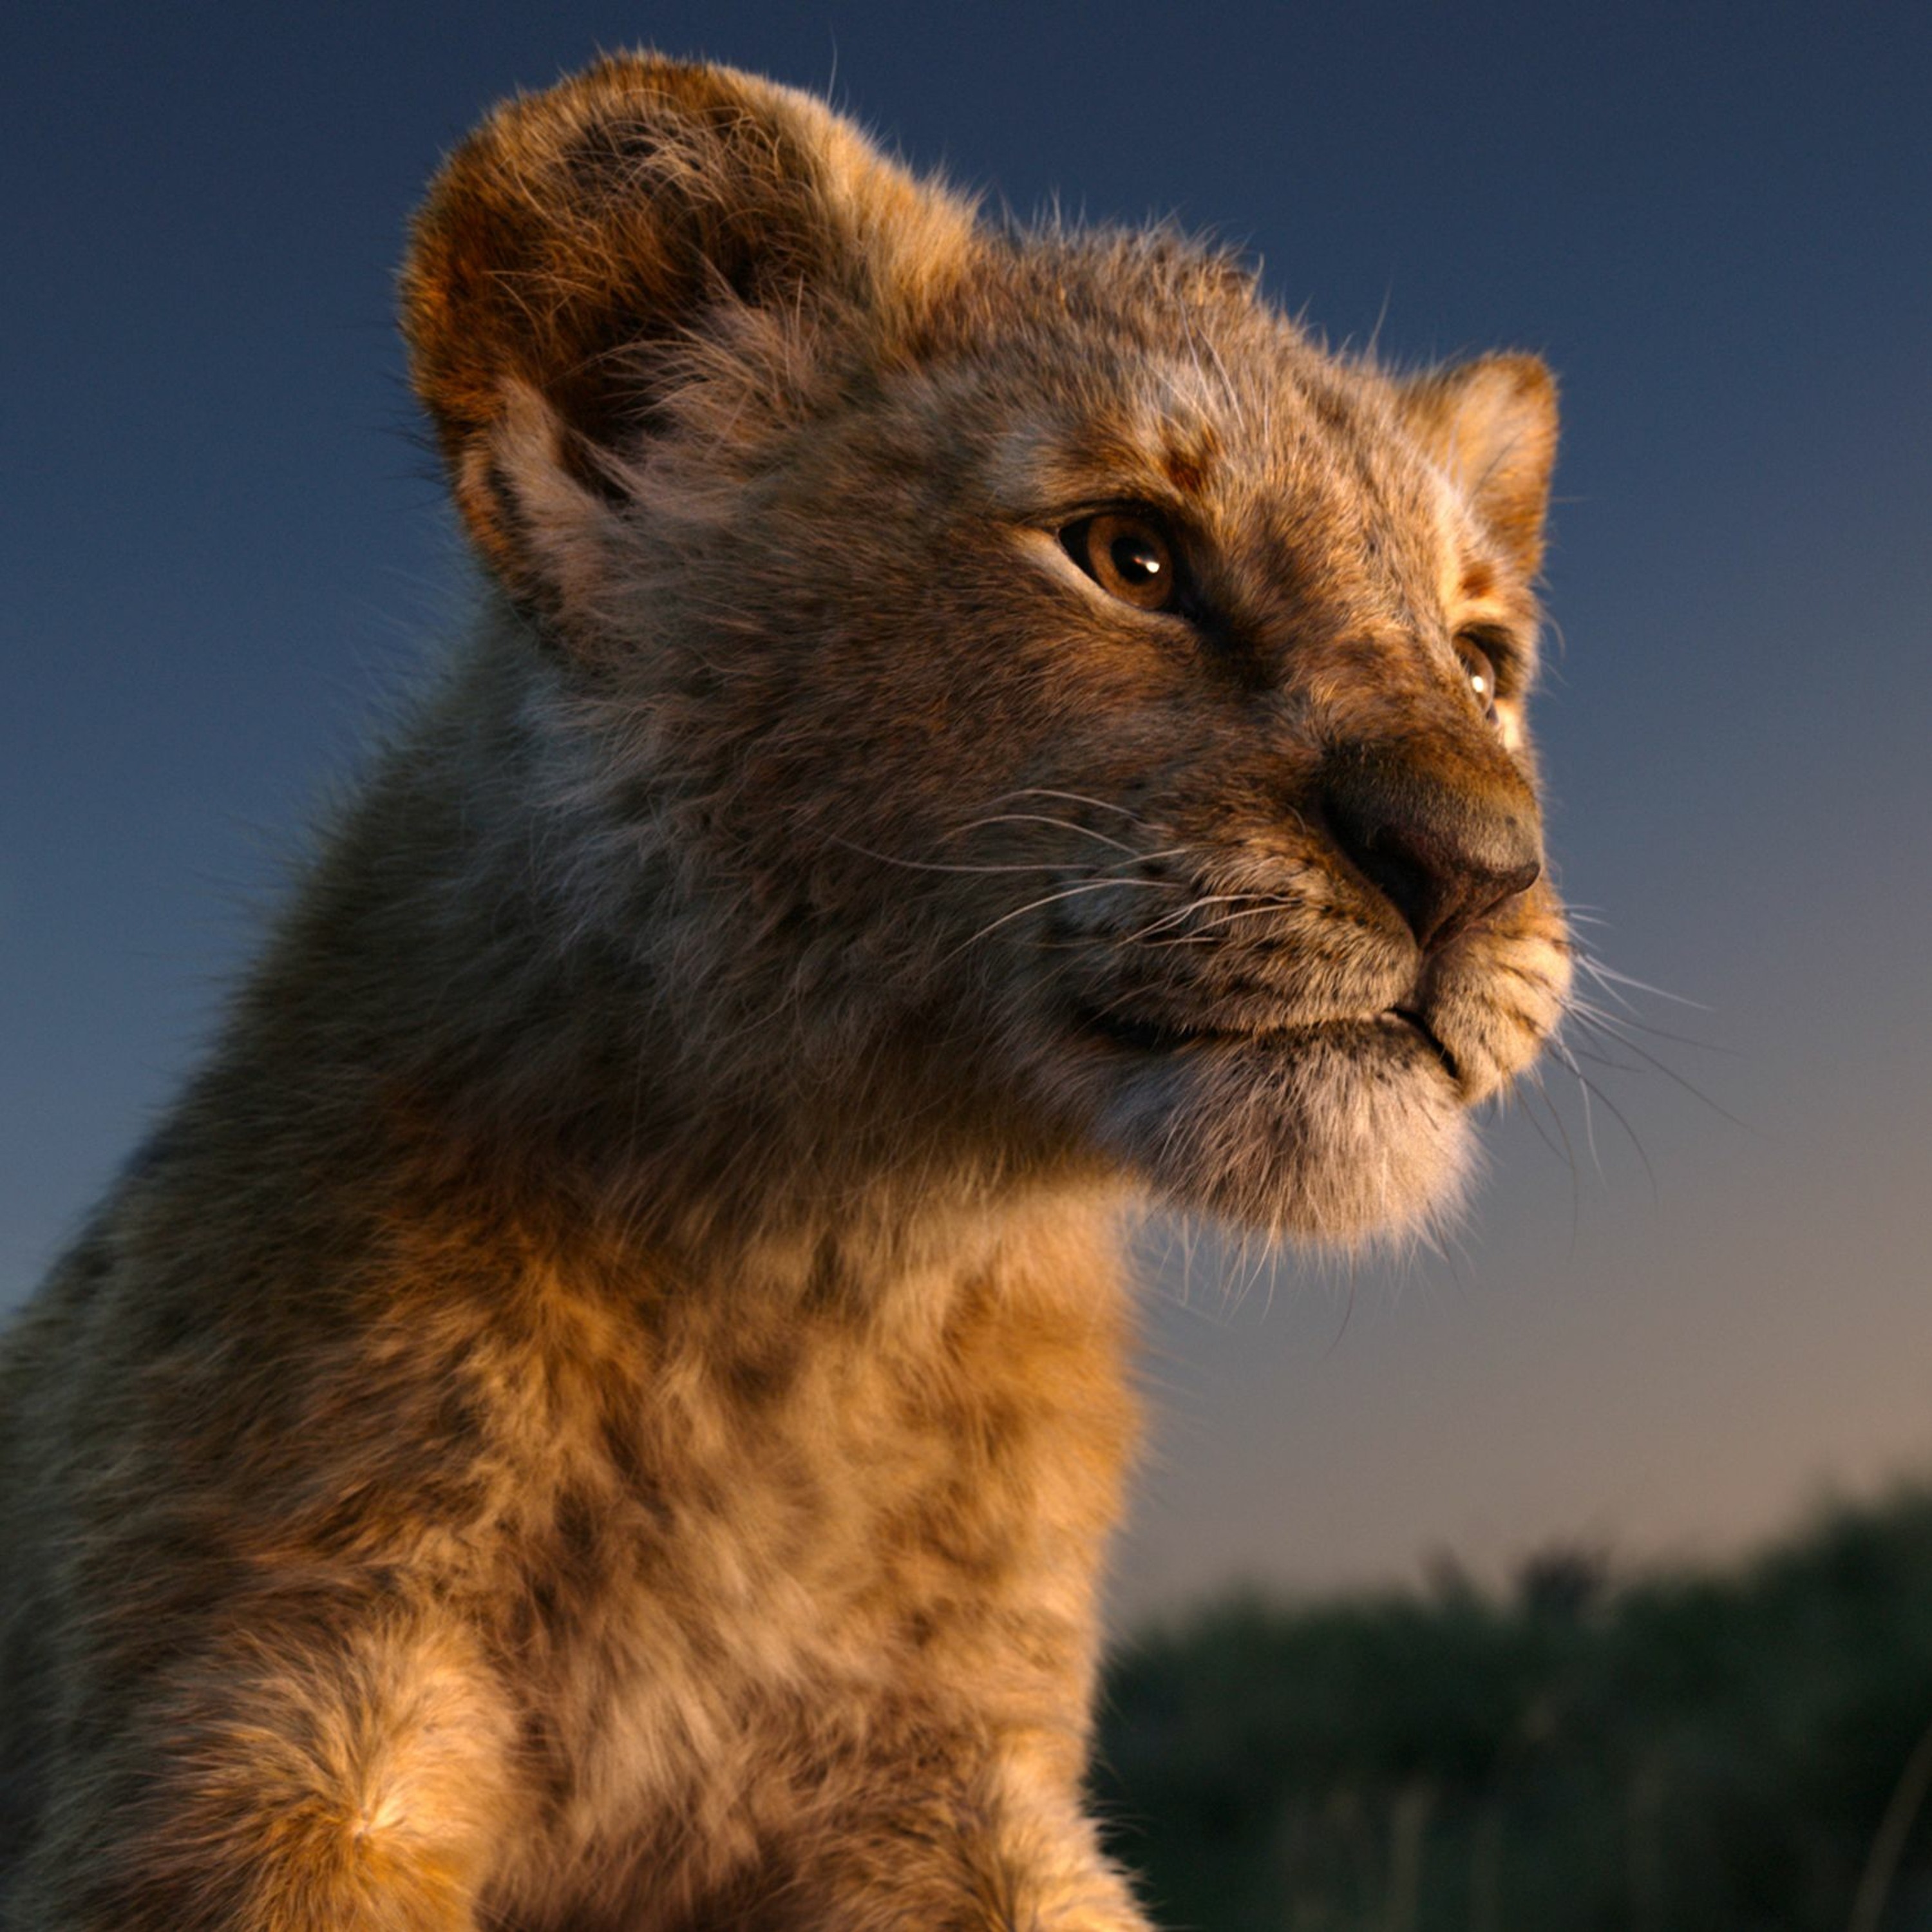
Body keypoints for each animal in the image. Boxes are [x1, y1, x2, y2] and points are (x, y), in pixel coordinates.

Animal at [0, 53, 1569, 1932]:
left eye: (1481, 661)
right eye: (1128, 555)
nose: (1477, 862)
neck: (816, 1279)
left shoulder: (942, 1771)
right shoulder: (258, 1704)